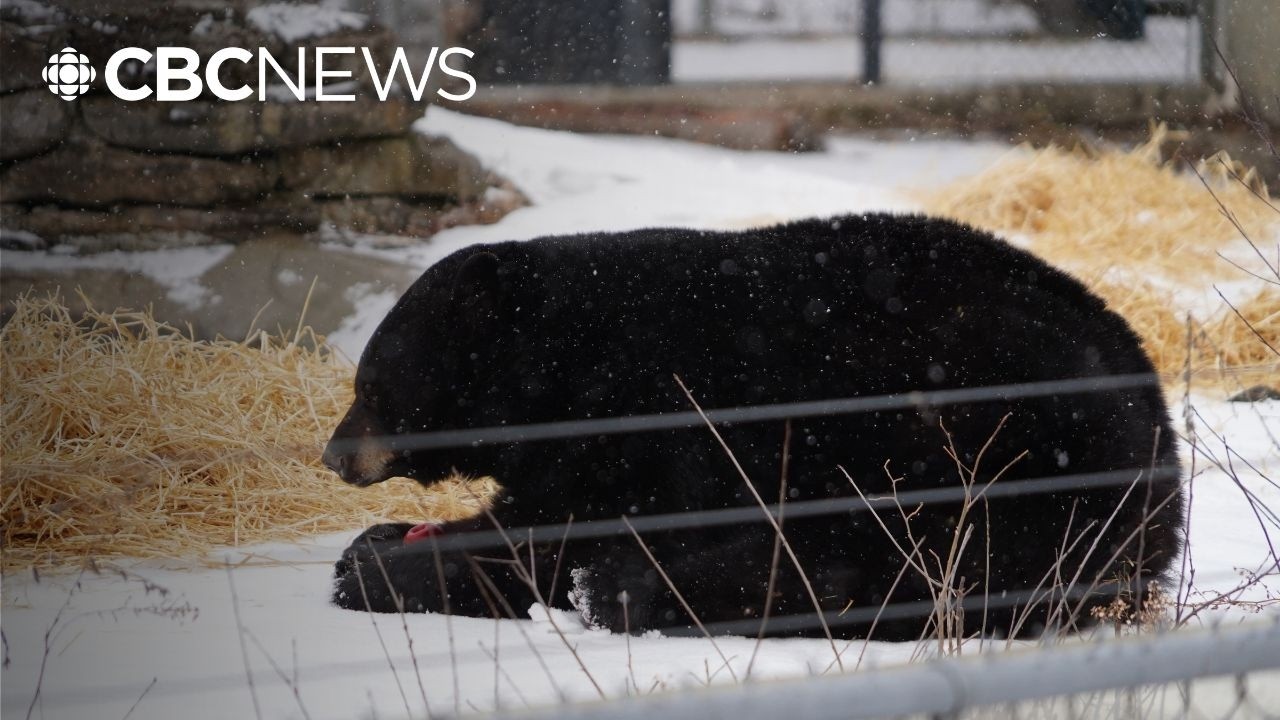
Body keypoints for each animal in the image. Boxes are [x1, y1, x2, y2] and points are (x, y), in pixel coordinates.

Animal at [323, 213, 1183, 640]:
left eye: (371, 385)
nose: (333, 454)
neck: (566, 360)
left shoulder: (661, 415)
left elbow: (575, 525)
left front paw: (379, 570)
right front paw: (378, 542)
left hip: (982, 424)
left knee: (903, 554)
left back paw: (629, 590)